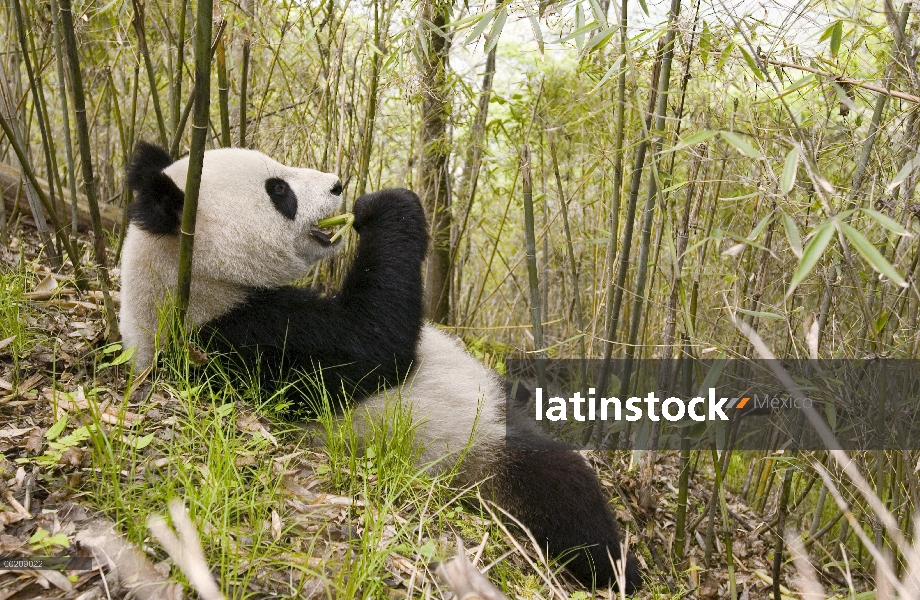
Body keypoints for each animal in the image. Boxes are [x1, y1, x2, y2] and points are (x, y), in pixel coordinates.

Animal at [118, 142, 644, 596]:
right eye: (278, 190)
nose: (338, 185)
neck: (189, 281)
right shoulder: (243, 339)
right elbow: (373, 344)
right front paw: (386, 206)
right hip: (476, 452)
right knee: (559, 488)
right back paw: (619, 568)